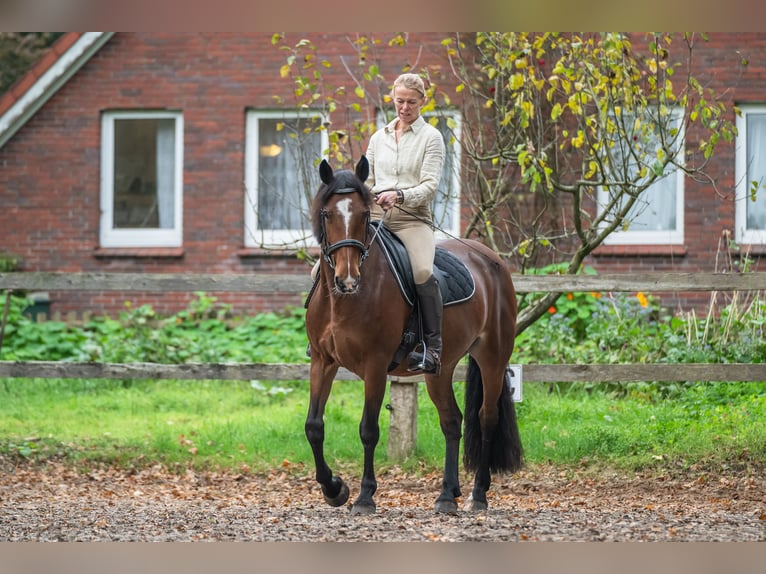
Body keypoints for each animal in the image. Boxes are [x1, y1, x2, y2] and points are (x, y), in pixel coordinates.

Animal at [304, 155, 524, 516]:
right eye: (327, 214)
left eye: (363, 215)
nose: (347, 280)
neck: (345, 300)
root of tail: (491, 259)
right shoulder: (322, 361)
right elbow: (314, 426)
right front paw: (334, 489)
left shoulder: (375, 366)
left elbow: (368, 429)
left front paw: (364, 497)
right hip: (440, 368)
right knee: (452, 421)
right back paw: (447, 495)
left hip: (492, 356)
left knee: (486, 418)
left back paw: (478, 494)